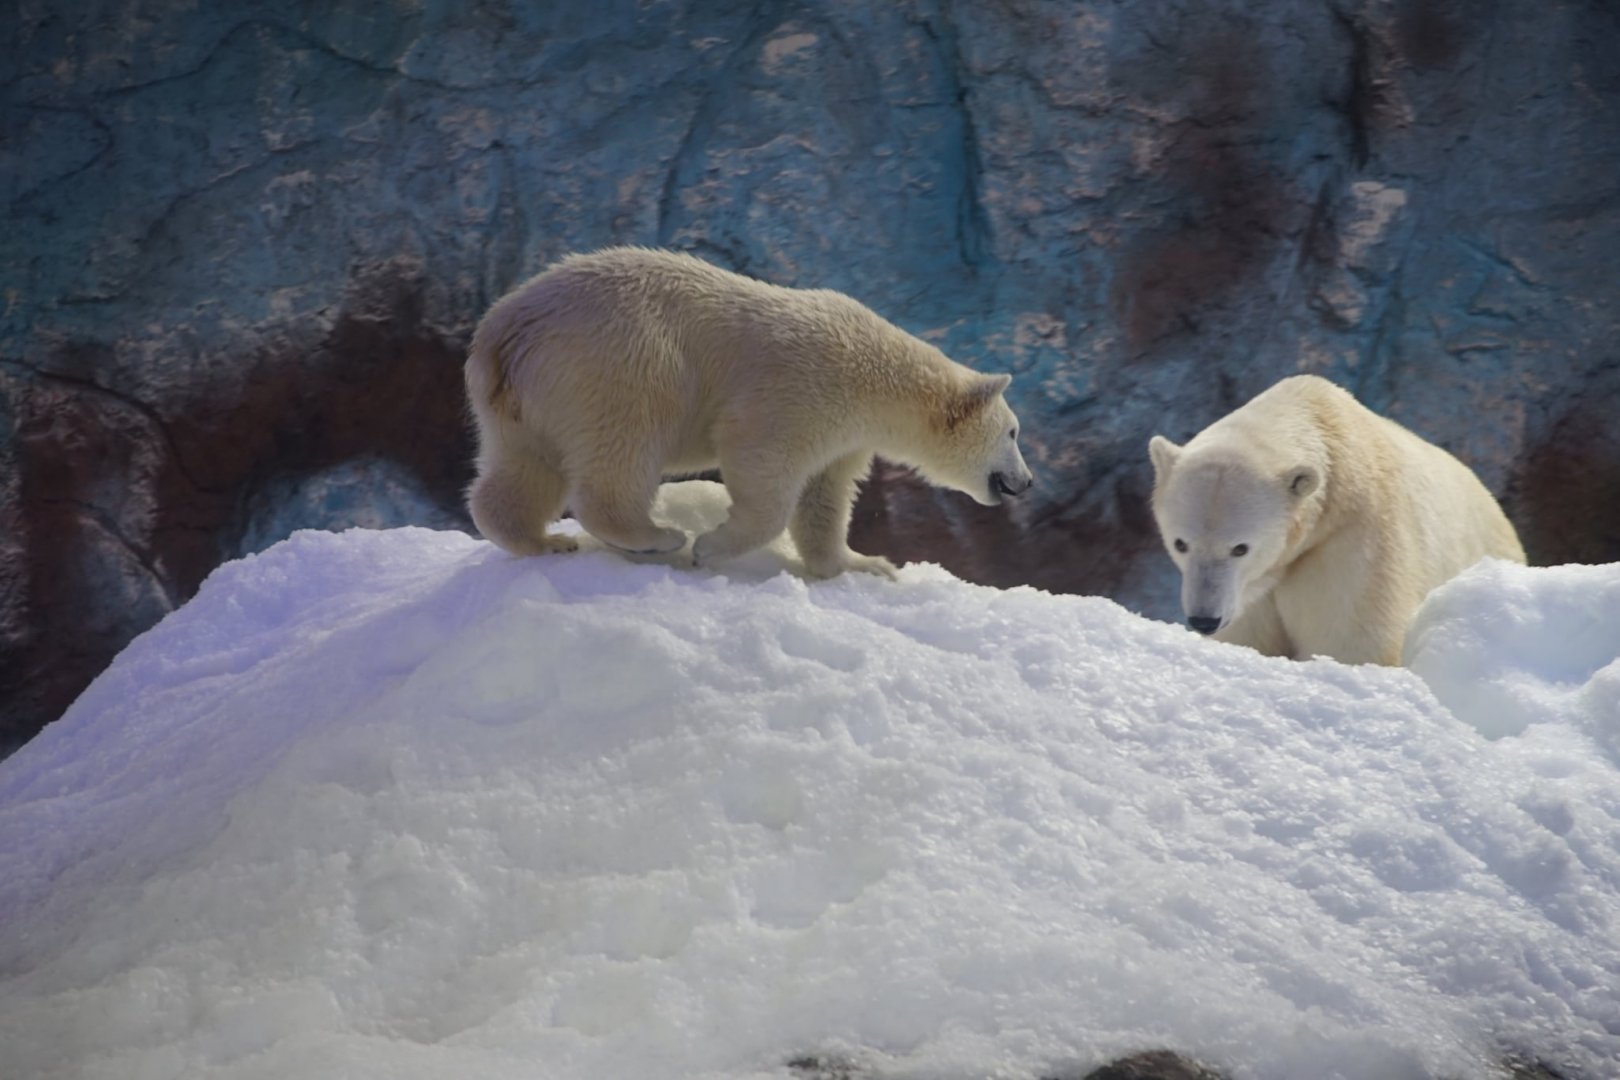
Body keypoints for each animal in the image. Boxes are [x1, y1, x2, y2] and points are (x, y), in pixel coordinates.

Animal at [464, 247, 1034, 578]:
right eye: (1013, 431)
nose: (1026, 482)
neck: (876, 374)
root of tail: (506, 330)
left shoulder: (847, 436)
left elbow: (825, 495)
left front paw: (865, 563)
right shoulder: (803, 388)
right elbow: (763, 460)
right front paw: (712, 547)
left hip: (520, 399)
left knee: (523, 467)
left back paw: (542, 542)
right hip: (621, 360)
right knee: (625, 443)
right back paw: (657, 537)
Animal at [1147, 374, 1526, 666]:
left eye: (1241, 548)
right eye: (1180, 543)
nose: (1204, 619)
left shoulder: (1354, 546)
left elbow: (1352, 640)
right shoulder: (1249, 593)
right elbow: (1248, 636)